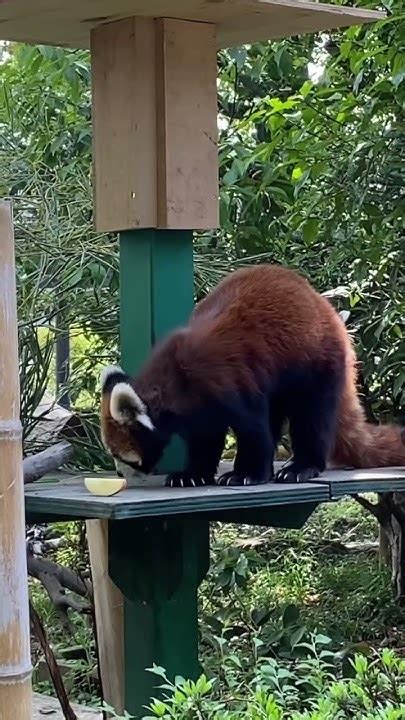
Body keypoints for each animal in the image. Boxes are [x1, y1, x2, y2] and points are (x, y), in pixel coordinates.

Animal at [98, 264, 404, 490]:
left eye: (120, 455)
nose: (120, 474)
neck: (172, 380)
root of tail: (324, 305)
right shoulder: (198, 409)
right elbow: (205, 437)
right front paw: (192, 474)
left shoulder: (225, 381)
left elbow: (253, 428)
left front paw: (246, 473)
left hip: (317, 361)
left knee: (311, 416)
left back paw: (302, 467)